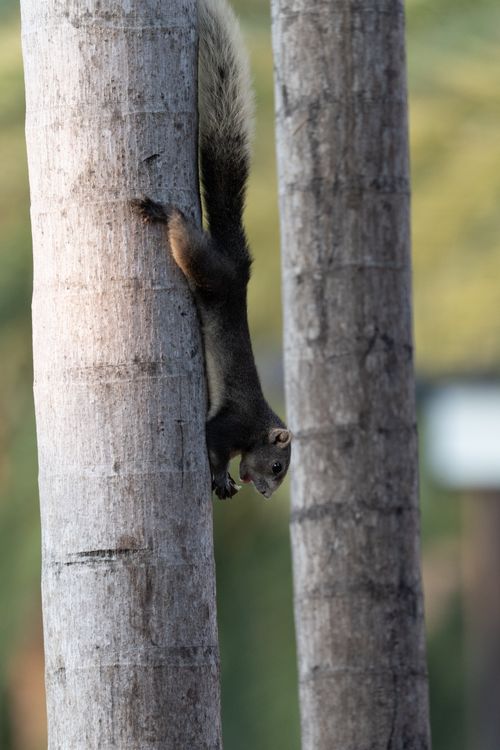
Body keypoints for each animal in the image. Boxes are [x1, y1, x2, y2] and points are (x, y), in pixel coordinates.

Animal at [133, 0, 291, 500]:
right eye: (278, 466)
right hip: (208, 268)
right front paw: (221, 479)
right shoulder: (229, 425)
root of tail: (239, 262)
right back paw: (164, 212)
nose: (266, 493)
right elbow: (212, 445)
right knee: (185, 237)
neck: (257, 427)